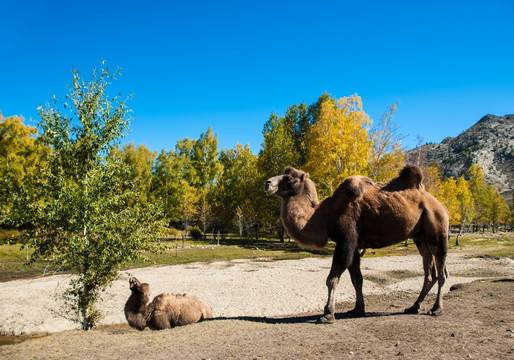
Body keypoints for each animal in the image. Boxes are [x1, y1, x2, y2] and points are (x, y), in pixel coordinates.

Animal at [264, 165, 448, 322]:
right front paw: (358, 310)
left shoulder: (346, 241)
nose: (267, 183)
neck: (324, 215)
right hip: (420, 236)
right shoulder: (355, 246)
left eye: (289, 178)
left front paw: (328, 314)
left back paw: (436, 309)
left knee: (441, 271)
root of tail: (440, 204)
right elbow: (357, 279)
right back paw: (414, 307)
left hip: (438, 228)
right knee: (429, 270)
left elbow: (332, 279)